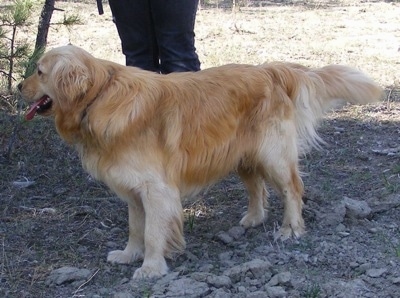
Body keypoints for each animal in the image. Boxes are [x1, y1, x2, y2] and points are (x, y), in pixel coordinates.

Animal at [18, 44, 382, 280]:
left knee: (292, 188)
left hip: (272, 154)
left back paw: (290, 228)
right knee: (257, 187)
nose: (19, 85)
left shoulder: (156, 189)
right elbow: (136, 227)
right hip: (242, 154)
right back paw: (253, 218)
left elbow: (153, 232)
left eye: (40, 71)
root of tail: (269, 70)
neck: (98, 97)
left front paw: (151, 267)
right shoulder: (133, 189)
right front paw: (130, 254)